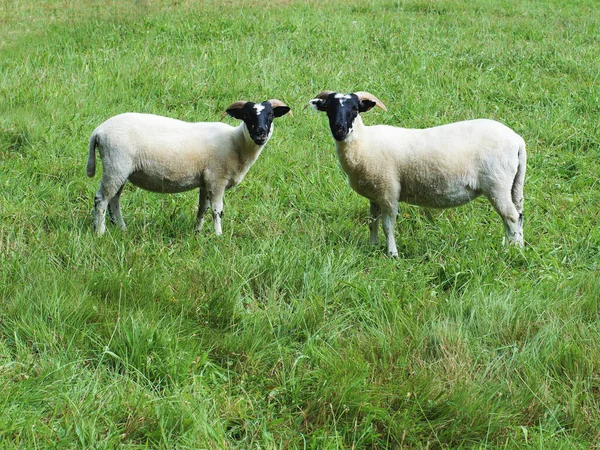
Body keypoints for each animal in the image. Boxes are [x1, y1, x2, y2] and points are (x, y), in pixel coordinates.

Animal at [86, 99, 290, 236]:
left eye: (271, 116)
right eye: (247, 116)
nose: (261, 133)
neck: (236, 143)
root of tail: (99, 131)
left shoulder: (206, 181)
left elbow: (203, 209)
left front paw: (197, 232)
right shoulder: (217, 180)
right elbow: (217, 210)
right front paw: (219, 236)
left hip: (120, 169)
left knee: (114, 200)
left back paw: (121, 228)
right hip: (115, 165)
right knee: (101, 199)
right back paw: (100, 232)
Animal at [310, 89, 524, 256]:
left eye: (355, 109)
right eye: (329, 109)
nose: (339, 130)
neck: (365, 143)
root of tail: (517, 140)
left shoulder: (388, 191)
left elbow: (388, 225)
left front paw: (392, 254)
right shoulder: (375, 194)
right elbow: (373, 222)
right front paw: (372, 246)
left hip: (497, 184)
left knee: (511, 217)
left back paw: (511, 252)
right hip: (513, 185)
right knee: (518, 215)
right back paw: (518, 248)